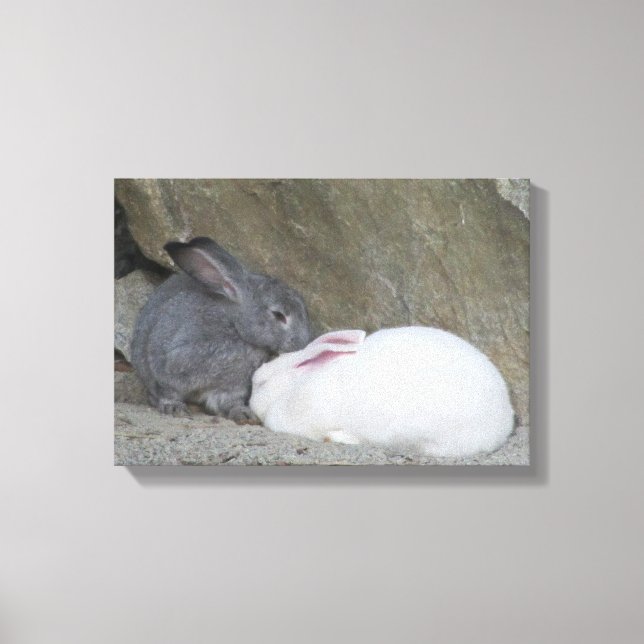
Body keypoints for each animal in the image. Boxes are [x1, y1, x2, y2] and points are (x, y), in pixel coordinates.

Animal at [130, 236, 311, 422]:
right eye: (278, 315)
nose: (302, 343)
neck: (235, 325)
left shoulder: (232, 388)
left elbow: (229, 403)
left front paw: (244, 414)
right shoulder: (171, 363)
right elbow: (167, 391)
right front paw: (174, 408)